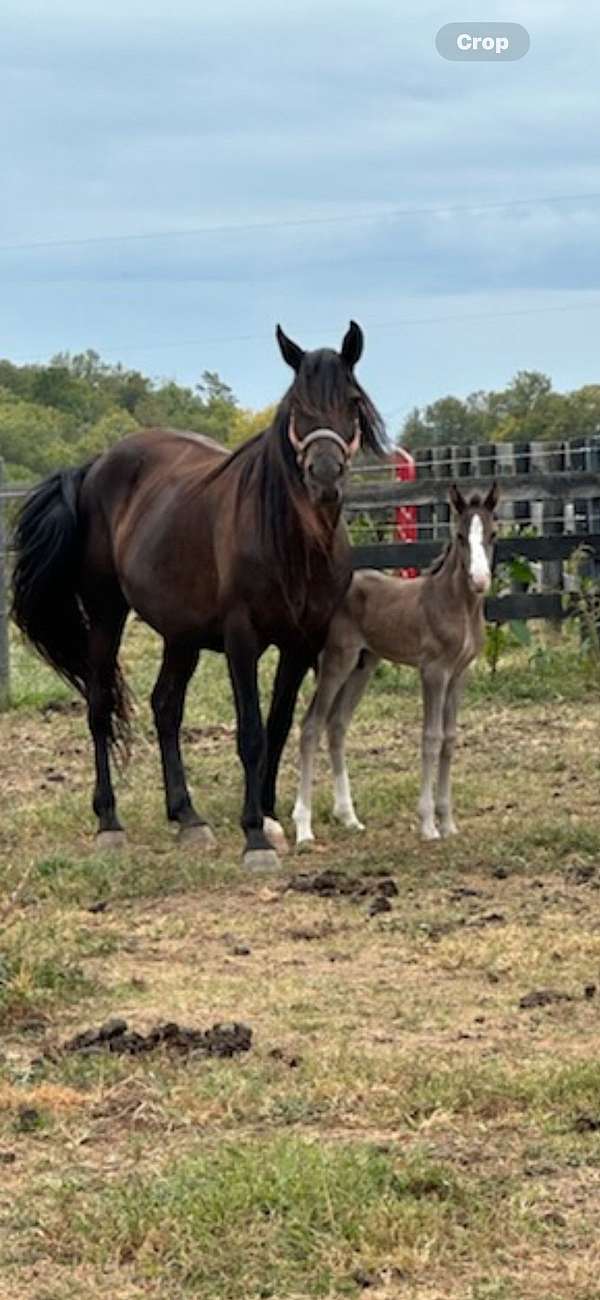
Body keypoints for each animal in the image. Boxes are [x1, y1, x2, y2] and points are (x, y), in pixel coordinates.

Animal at [293, 486, 496, 842]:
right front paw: (428, 824)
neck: (455, 605)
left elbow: (449, 739)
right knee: (311, 727)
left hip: (363, 666)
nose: (480, 580)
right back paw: (303, 827)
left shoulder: (459, 674)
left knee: (336, 726)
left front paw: (448, 823)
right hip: (337, 660)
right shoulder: (434, 671)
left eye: (493, 534)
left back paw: (348, 817)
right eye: (459, 536)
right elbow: (431, 738)